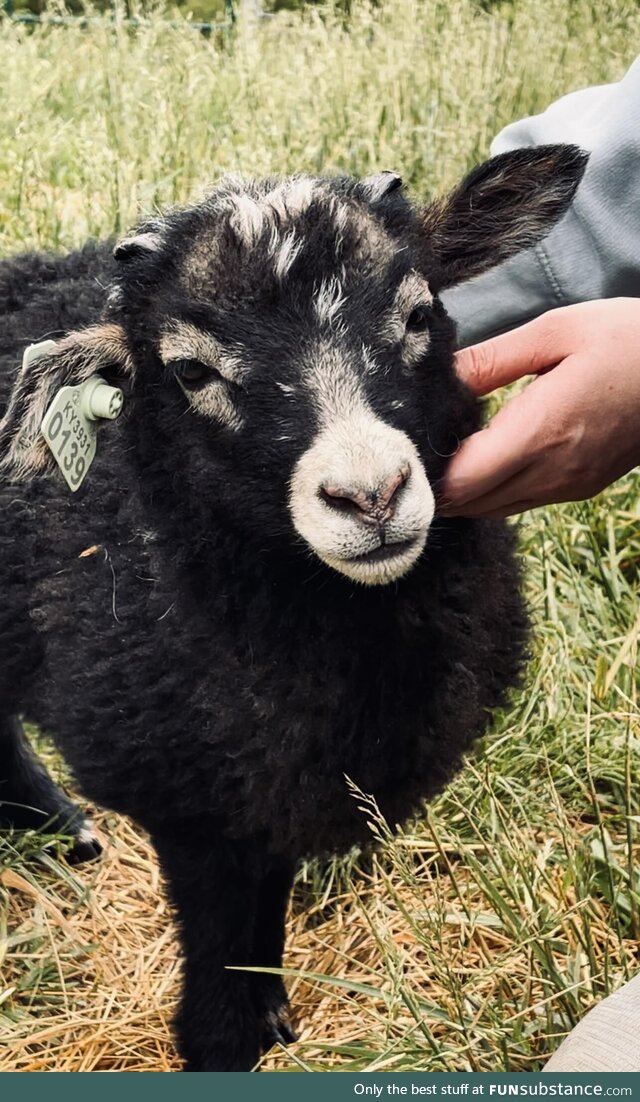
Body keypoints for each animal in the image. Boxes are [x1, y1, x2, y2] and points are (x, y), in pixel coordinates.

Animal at [0, 146, 586, 1066]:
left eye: (420, 313)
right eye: (190, 370)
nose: (370, 495)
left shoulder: (264, 790)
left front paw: (272, 1011)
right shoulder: (192, 802)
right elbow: (218, 960)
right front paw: (225, 1042)